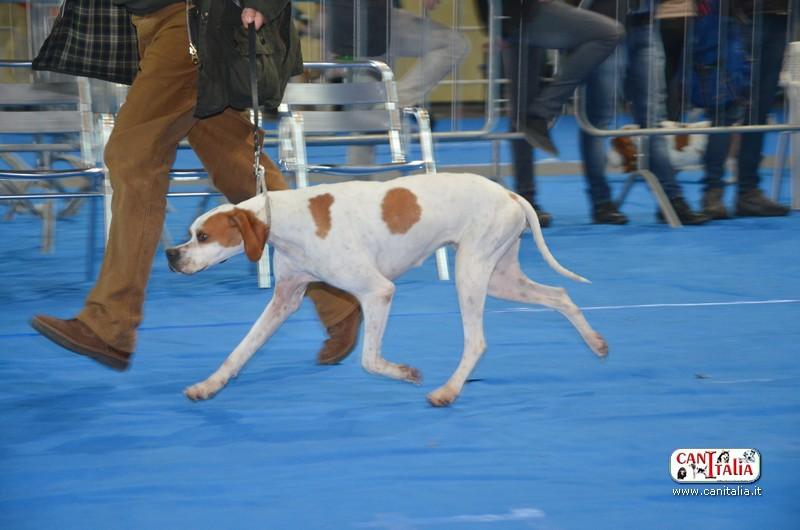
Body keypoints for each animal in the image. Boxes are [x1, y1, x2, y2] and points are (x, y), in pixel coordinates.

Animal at [166, 172, 608, 406]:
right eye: (190, 233)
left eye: (203, 236)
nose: (171, 255)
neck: (287, 221)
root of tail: (511, 193)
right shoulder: (284, 300)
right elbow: (240, 351)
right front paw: (208, 385)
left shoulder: (377, 292)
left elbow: (369, 360)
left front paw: (406, 373)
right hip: (500, 277)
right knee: (559, 295)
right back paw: (596, 343)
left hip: (471, 272)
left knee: (477, 341)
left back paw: (448, 391)